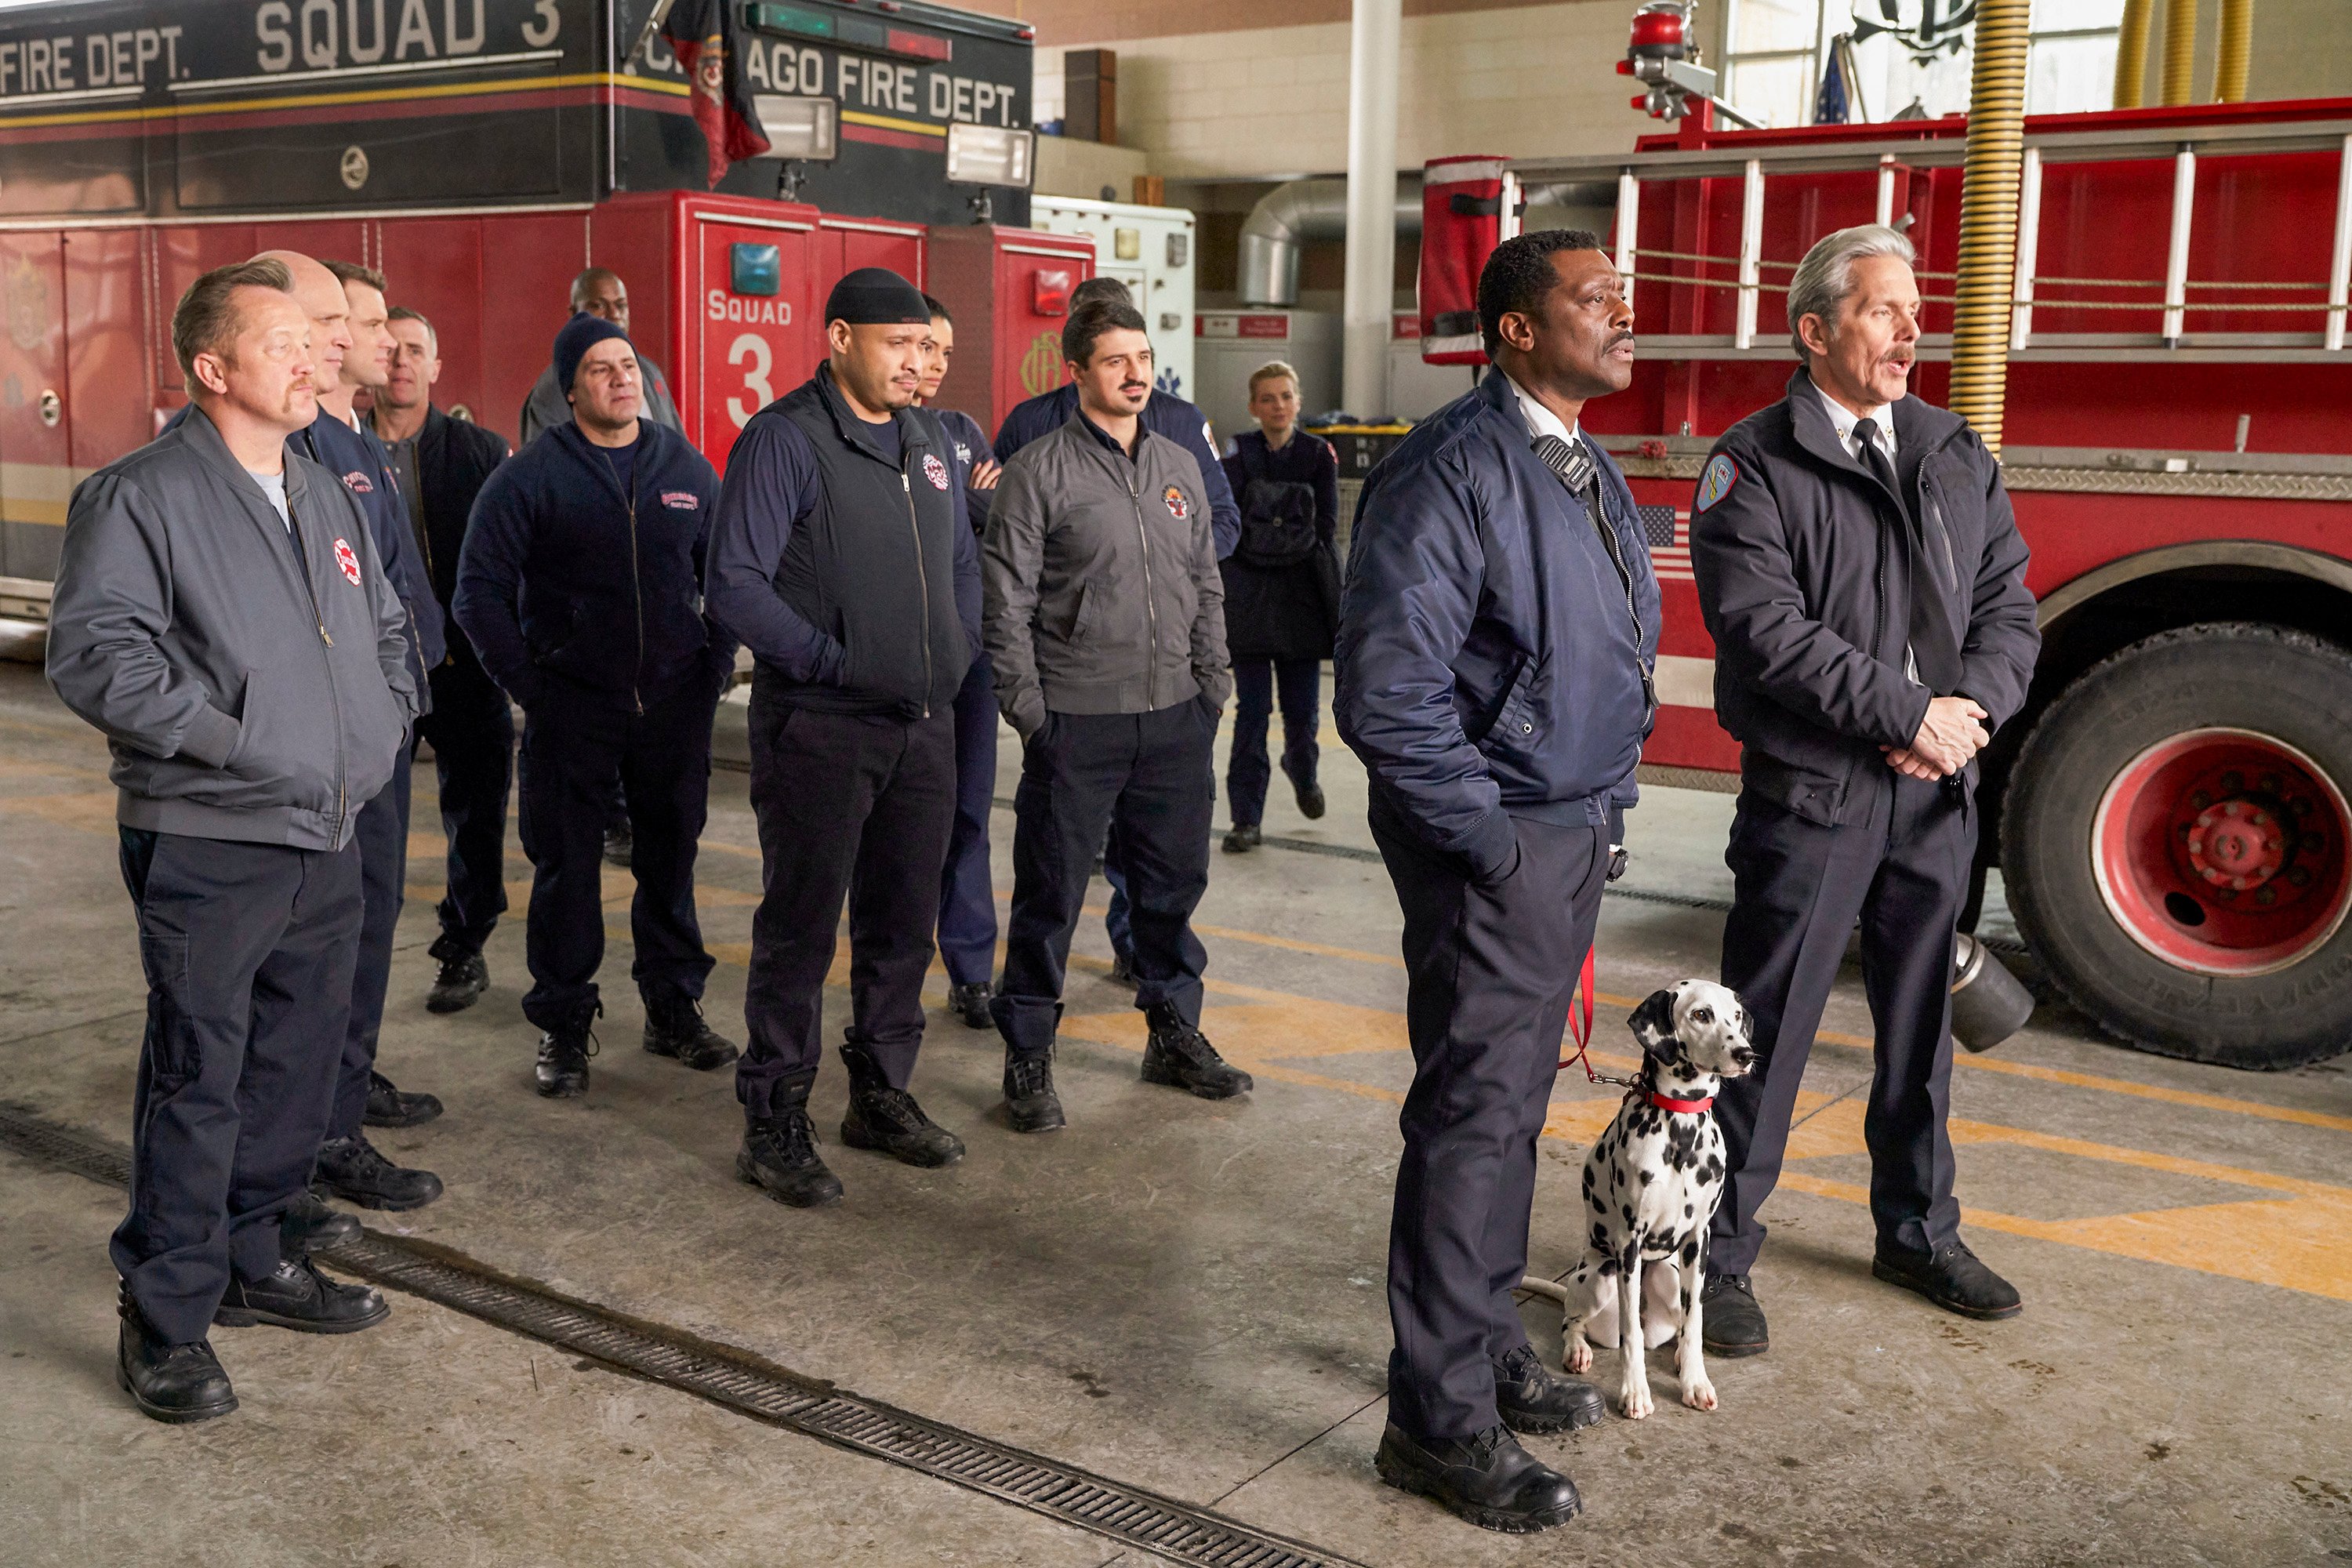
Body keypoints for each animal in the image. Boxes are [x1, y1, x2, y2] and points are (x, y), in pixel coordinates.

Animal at [1524, 987, 1750, 1420]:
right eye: (1700, 1014)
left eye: (1736, 1015)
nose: (1745, 1054)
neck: (1681, 1128)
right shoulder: (1629, 1242)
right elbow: (1630, 1333)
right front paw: (1634, 1392)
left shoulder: (1698, 1240)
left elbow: (1695, 1321)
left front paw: (1695, 1381)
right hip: (1600, 1274)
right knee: (1572, 1321)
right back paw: (1577, 1349)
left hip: (1669, 1275)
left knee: (1679, 1324)